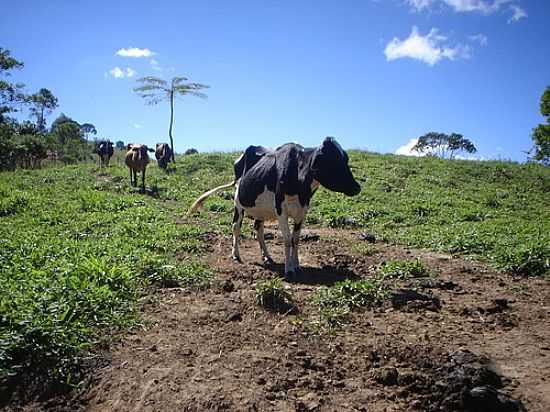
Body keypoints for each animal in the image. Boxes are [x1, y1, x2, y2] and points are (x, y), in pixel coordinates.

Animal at [188, 138, 364, 280]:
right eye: (333, 161)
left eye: (345, 159)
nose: (357, 188)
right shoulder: (281, 209)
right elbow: (287, 240)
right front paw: (289, 269)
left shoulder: (303, 210)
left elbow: (296, 239)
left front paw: (296, 265)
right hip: (238, 202)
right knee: (236, 227)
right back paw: (236, 254)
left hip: (260, 209)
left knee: (258, 229)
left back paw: (267, 257)